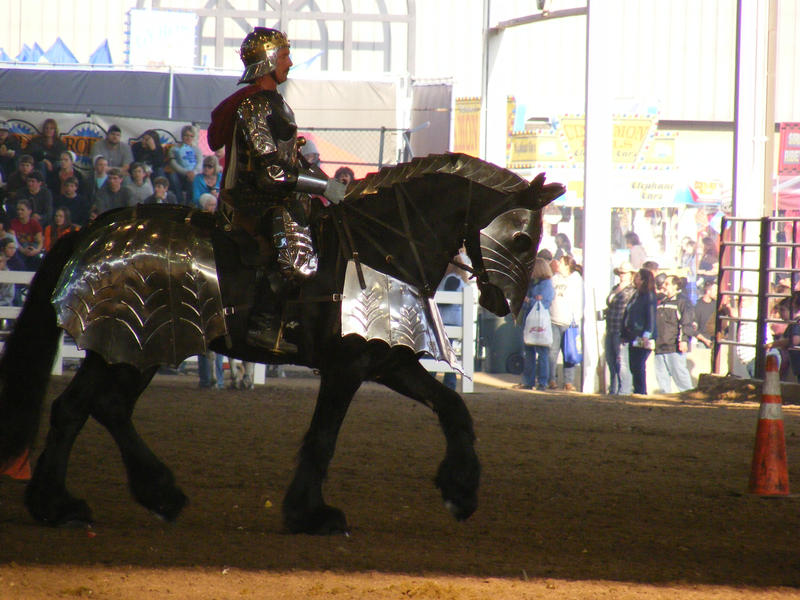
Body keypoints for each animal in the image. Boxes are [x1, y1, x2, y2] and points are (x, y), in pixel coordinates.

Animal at [0, 152, 564, 532]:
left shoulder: (387, 360)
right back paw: (120, 496)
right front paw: (311, 513)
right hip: (131, 341)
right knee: (92, 407)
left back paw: (79, 502)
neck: (384, 245)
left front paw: (461, 492)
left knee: (86, 408)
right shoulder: (347, 366)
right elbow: (323, 437)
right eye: (521, 238)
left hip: (129, 349)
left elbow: (453, 408)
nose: (504, 304)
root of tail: (88, 230)